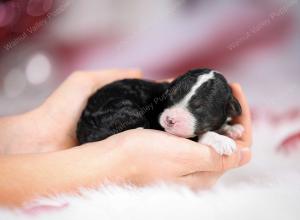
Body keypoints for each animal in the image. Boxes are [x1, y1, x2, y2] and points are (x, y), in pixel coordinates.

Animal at [77, 68, 244, 155]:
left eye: (199, 107)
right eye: (171, 96)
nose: (170, 120)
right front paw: (221, 141)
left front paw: (232, 129)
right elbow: (198, 135)